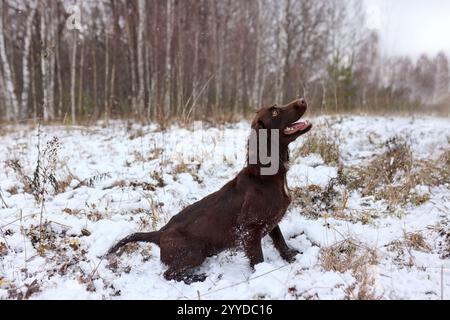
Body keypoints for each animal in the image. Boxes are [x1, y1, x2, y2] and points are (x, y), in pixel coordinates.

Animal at [108, 99, 312, 282]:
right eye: (275, 112)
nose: (303, 100)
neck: (267, 176)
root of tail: (159, 234)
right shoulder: (248, 229)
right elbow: (258, 259)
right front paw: (263, 276)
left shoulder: (271, 221)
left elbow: (280, 241)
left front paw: (291, 258)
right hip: (196, 251)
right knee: (168, 274)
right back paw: (196, 278)